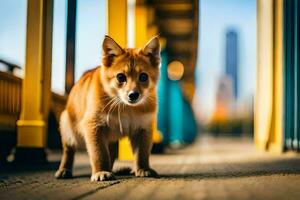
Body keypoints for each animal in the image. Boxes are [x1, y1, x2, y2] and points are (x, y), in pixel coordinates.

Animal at [55, 35, 161, 181]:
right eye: (120, 77)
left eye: (143, 76)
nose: (133, 95)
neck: (126, 108)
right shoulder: (94, 126)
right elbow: (99, 153)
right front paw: (101, 172)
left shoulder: (143, 128)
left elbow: (142, 153)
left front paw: (143, 169)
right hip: (68, 129)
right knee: (68, 151)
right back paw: (64, 169)